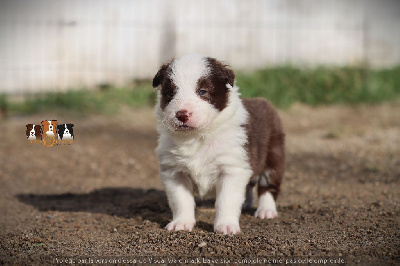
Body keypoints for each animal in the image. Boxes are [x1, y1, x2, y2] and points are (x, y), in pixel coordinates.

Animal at [152, 54, 284, 235]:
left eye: (202, 91)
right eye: (170, 92)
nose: (182, 114)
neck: (196, 137)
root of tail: (266, 102)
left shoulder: (232, 168)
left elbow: (226, 200)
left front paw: (226, 226)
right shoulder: (174, 172)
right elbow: (181, 200)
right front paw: (181, 223)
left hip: (274, 155)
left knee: (268, 185)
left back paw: (266, 211)